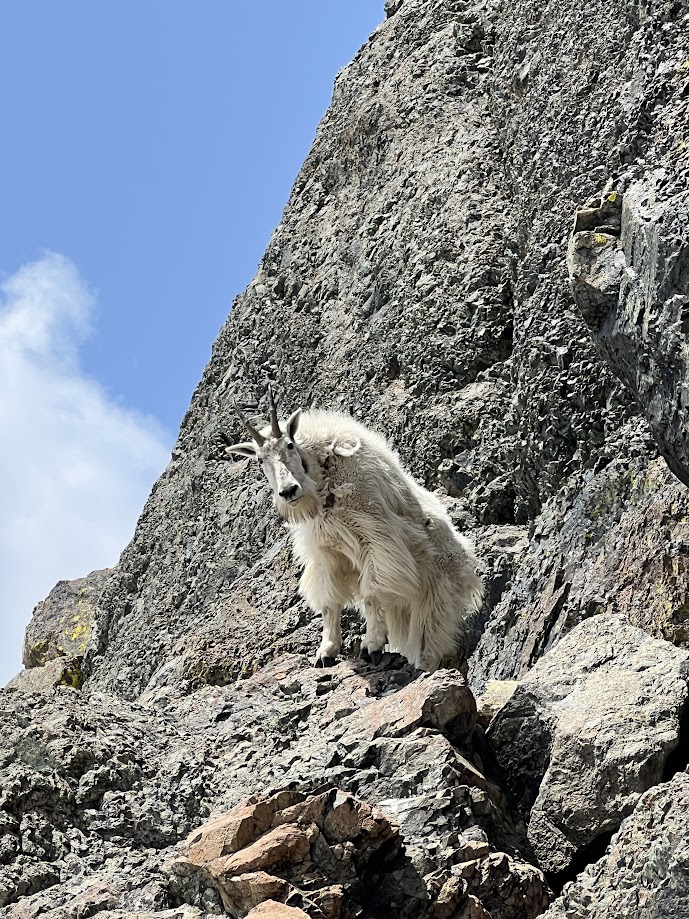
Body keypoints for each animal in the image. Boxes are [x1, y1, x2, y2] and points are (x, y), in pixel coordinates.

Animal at [218, 387, 482, 670]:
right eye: (259, 459)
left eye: (289, 444)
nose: (288, 491)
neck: (322, 477)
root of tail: (468, 563)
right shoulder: (325, 552)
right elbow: (329, 602)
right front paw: (326, 651)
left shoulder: (376, 540)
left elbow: (371, 593)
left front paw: (372, 646)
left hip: (437, 597)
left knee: (430, 638)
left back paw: (423, 666)